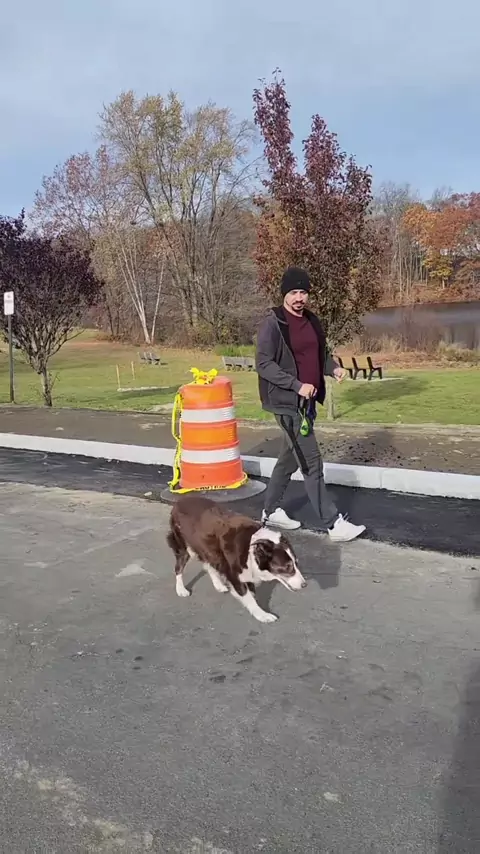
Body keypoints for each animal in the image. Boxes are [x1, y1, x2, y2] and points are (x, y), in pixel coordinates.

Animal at [166, 494, 307, 624]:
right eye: (287, 567)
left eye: (296, 564)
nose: (305, 585)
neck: (251, 546)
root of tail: (180, 501)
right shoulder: (234, 574)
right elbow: (248, 596)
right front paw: (262, 614)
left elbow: (252, 592)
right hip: (183, 546)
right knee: (178, 568)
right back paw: (181, 589)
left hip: (206, 548)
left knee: (209, 564)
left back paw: (218, 585)